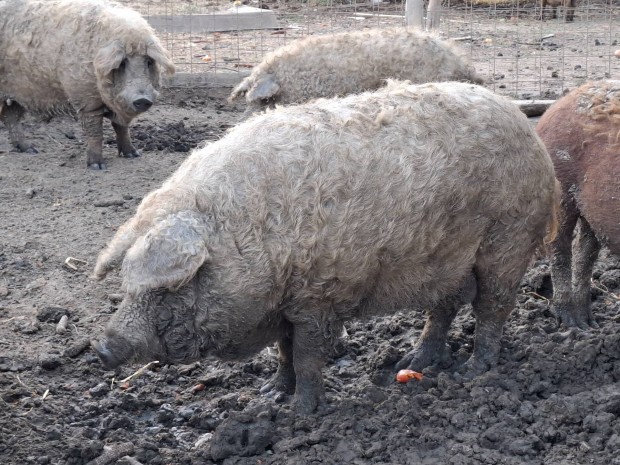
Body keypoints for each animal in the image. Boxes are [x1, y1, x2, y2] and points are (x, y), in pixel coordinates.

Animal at [0, 0, 174, 169]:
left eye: (149, 62)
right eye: (122, 63)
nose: (142, 99)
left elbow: (122, 128)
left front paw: (133, 155)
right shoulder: (85, 98)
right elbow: (95, 131)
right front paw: (97, 166)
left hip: (19, 93)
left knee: (9, 116)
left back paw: (30, 149)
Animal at [91, 80, 556, 414]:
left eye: (170, 288)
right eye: (127, 285)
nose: (101, 346)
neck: (248, 243)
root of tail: (524, 126)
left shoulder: (319, 296)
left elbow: (307, 356)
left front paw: (302, 413)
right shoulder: (283, 306)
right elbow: (283, 352)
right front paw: (268, 395)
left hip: (509, 237)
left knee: (494, 306)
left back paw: (474, 371)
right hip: (446, 259)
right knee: (443, 309)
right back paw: (409, 365)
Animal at [536, 79, 620, 326]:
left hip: (591, 211)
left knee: (585, 251)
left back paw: (589, 323)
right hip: (562, 192)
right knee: (559, 248)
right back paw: (569, 323)